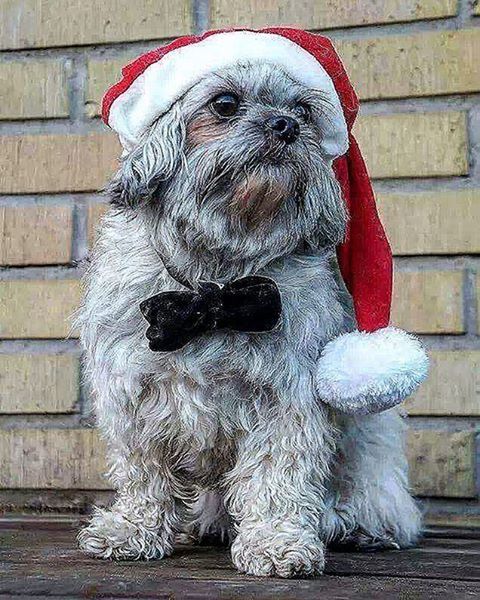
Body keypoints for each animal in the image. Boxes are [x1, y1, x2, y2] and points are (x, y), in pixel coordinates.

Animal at [78, 29, 428, 576]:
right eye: (224, 104)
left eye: (304, 110)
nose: (286, 125)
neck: (215, 284)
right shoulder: (130, 393)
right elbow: (143, 474)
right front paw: (132, 528)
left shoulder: (288, 397)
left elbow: (276, 478)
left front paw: (276, 542)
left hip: (368, 440)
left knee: (378, 495)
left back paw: (356, 525)